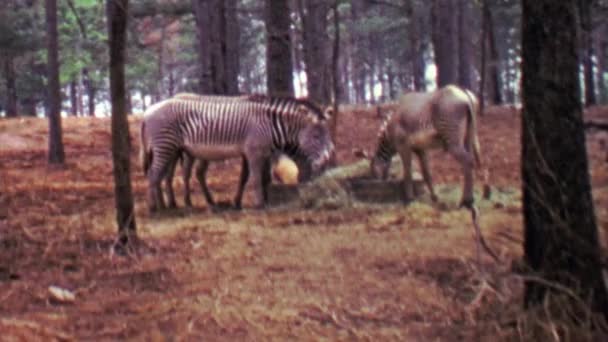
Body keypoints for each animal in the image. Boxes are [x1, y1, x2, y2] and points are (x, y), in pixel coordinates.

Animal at [140, 93, 334, 211]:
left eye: (327, 135)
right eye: (316, 136)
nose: (327, 160)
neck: (270, 126)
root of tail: (147, 112)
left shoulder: (254, 153)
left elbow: (248, 178)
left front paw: (240, 202)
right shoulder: (254, 152)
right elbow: (255, 179)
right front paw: (259, 204)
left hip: (172, 148)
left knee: (162, 175)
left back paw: (167, 205)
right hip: (166, 145)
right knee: (154, 174)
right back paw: (154, 208)